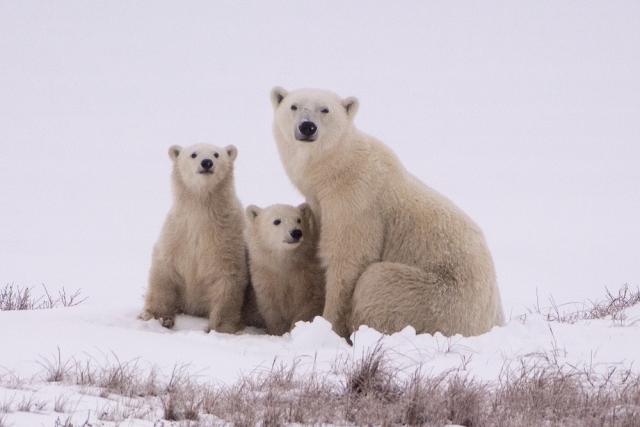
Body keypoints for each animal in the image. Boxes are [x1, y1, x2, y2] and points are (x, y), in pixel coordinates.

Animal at [140, 143, 248, 333]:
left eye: (216, 154)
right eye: (193, 154)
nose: (207, 163)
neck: (200, 207)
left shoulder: (227, 237)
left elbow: (227, 279)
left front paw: (220, 328)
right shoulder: (178, 233)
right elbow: (164, 271)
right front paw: (158, 318)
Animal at [244, 203, 325, 335]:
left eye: (299, 219)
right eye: (277, 221)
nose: (296, 232)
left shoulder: (310, 280)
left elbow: (309, 306)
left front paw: (296, 328)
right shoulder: (266, 281)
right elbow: (273, 312)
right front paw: (280, 333)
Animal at [270, 87, 504, 339]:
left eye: (325, 109)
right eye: (293, 106)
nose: (307, 127)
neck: (336, 171)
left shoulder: (357, 201)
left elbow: (348, 258)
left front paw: (327, 324)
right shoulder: (321, 206)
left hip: (439, 298)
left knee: (376, 281)